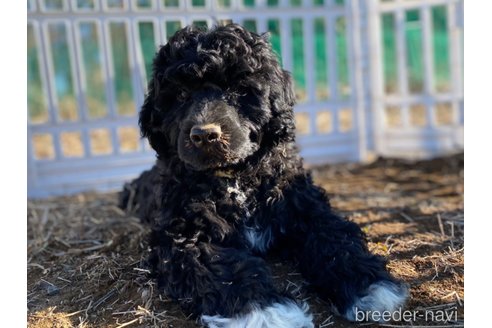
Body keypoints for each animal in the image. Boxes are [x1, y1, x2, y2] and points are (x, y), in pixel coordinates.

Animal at [120, 23, 408, 328]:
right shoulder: (184, 235)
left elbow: (335, 238)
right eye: (181, 95)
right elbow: (224, 268)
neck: (234, 179)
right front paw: (265, 312)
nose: (205, 135)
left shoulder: (306, 209)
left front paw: (369, 283)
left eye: (238, 90)